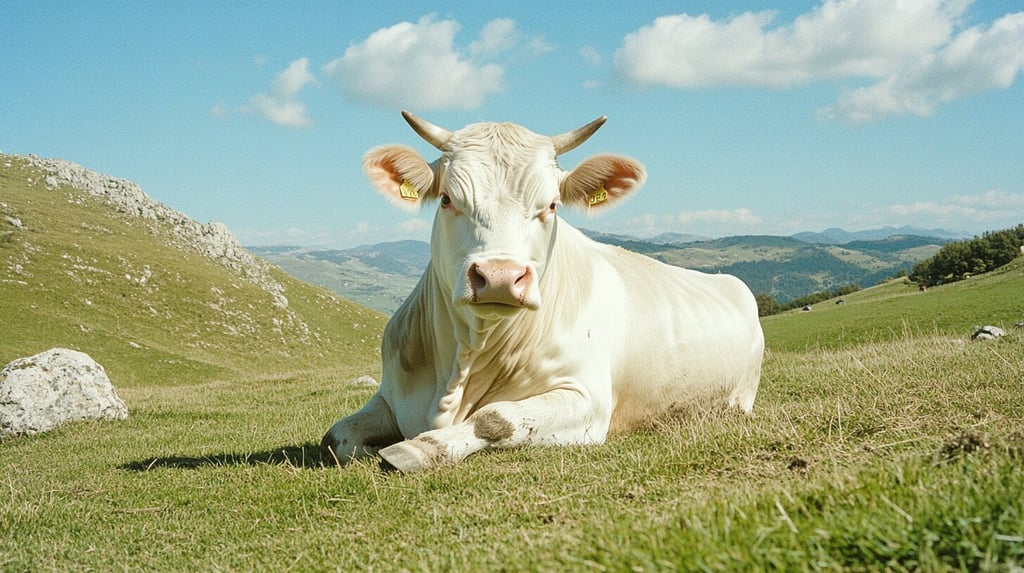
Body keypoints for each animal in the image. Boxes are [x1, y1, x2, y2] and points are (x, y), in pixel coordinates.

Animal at [321, 112, 764, 473]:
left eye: (551, 205)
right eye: (447, 199)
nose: (500, 276)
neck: (461, 368)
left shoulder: (588, 399)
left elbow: (496, 418)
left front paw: (414, 449)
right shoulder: (389, 395)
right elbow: (336, 436)